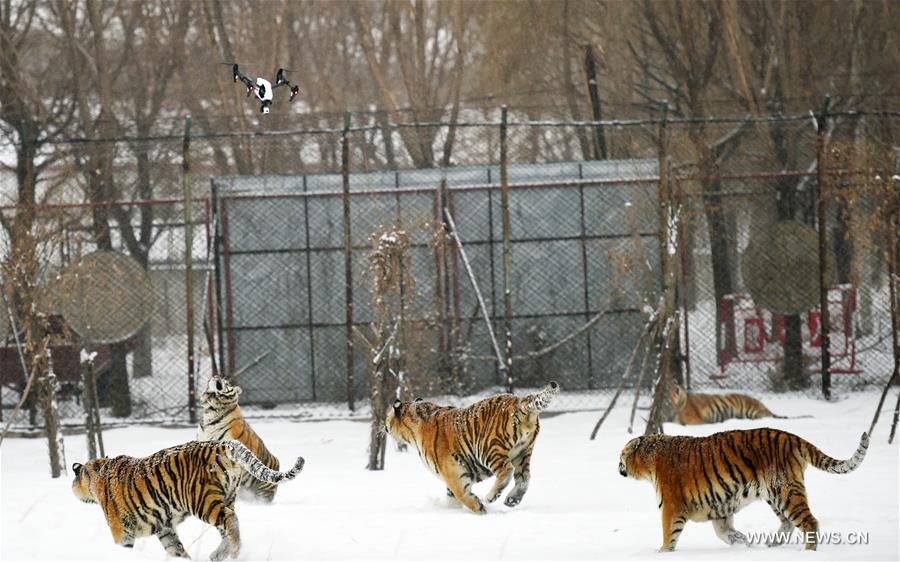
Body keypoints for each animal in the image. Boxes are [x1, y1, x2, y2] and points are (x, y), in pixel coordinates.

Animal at [69, 440, 306, 556]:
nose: (72, 489)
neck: (99, 471)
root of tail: (222, 444)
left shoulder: (121, 532)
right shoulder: (164, 528)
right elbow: (176, 550)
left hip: (203, 501)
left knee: (231, 521)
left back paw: (235, 551)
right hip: (226, 498)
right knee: (228, 525)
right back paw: (219, 554)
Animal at [384, 380, 560, 512]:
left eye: (387, 416)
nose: (384, 425)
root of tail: (519, 401)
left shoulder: (452, 471)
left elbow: (461, 493)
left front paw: (478, 508)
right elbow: (452, 497)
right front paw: (453, 511)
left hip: (488, 448)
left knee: (506, 470)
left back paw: (490, 497)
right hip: (523, 452)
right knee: (524, 477)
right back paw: (512, 500)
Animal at [620, 426, 864, 548]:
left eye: (621, 455)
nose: (618, 466)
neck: (649, 459)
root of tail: (792, 437)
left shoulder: (671, 507)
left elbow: (668, 535)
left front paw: (662, 553)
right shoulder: (719, 505)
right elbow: (723, 532)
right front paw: (743, 544)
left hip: (785, 491)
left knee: (809, 522)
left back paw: (808, 553)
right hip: (774, 495)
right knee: (788, 523)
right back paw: (770, 544)